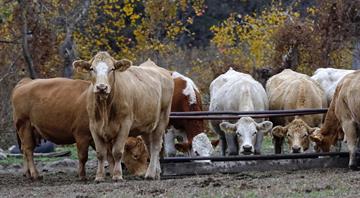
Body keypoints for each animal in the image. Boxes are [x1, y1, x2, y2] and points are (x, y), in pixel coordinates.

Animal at [11, 76, 149, 180]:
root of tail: (26, 82)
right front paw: (82, 176)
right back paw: (35, 174)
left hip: (30, 131)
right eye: (135, 155)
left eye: (147, 156)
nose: (142, 174)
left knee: (24, 150)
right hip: (25, 126)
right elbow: (83, 156)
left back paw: (27, 173)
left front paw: (111, 173)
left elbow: (109, 156)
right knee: (28, 150)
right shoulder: (82, 135)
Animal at [73, 51, 173, 182]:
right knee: (149, 146)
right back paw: (156, 173)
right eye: (91, 68)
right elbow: (101, 153)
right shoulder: (94, 126)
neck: (105, 108)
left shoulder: (124, 125)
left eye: (112, 69)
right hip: (147, 126)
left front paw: (117, 175)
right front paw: (99, 176)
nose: (101, 87)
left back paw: (150, 174)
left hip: (162, 118)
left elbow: (117, 152)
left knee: (156, 146)